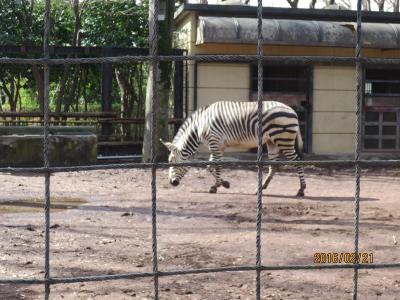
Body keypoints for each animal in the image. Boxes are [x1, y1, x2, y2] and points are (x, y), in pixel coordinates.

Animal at [161, 100, 304, 197]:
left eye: (171, 162)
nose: (172, 183)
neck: (199, 126)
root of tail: (292, 110)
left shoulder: (214, 142)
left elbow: (216, 166)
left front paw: (220, 185)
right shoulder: (218, 146)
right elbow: (210, 166)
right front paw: (219, 185)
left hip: (283, 139)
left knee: (297, 161)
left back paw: (301, 190)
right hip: (272, 141)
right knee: (273, 166)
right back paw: (261, 188)